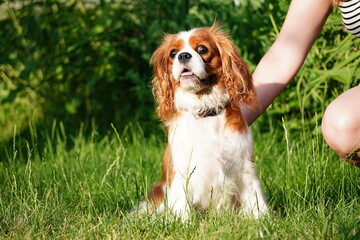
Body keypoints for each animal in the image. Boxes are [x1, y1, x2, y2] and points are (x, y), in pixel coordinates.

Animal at [141, 25, 268, 220]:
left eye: (202, 49)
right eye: (173, 53)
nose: (183, 56)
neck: (204, 110)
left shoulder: (244, 166)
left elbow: (256, 199)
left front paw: (262, 220)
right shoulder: (180, 172)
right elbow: (181, 206)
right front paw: (183, 222)